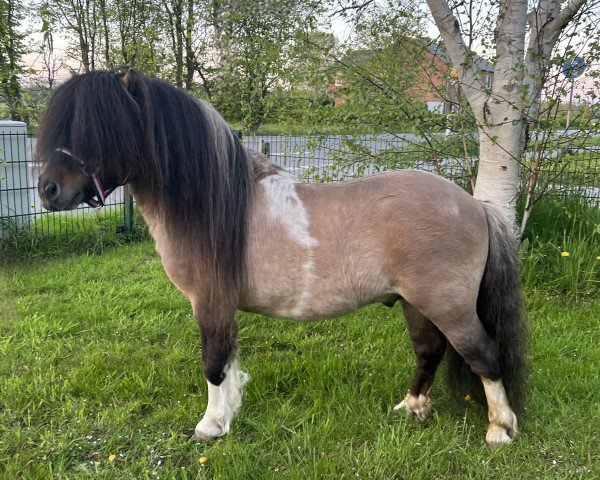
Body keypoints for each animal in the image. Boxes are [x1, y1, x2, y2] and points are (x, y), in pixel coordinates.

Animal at [37, 68, 524, 446]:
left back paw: (499, 430)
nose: (48, 190)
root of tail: (475, 205)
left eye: (101, 128)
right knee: (428, 352)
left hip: (449, 306)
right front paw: (229, 411)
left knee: (484, 355)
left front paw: (211, 425)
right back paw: (412, 407)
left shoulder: (210, 303)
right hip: (414, 303)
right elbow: (229, 362)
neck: (213, 203)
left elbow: (213, 363)